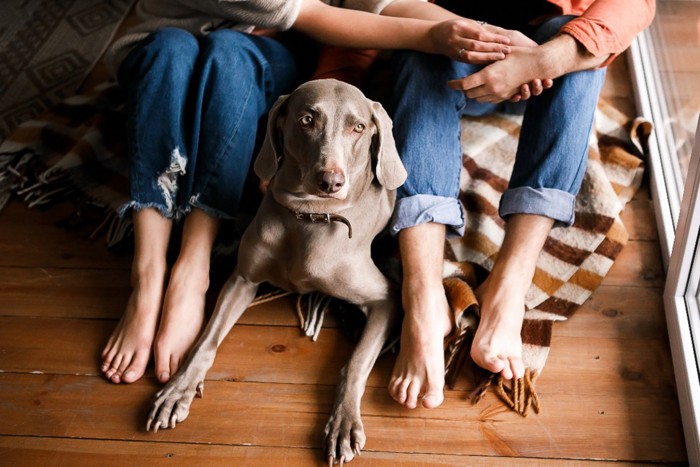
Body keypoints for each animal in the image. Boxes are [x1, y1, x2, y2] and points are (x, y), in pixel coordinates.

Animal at [148, 78, 408, 466]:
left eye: (359, 127)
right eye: (307, 120)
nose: (330, 181)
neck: (309, 219)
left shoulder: (385, 299)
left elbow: (356, 363)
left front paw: (344, 422)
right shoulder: (243, 280)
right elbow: (205, 343)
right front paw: (179, 388)